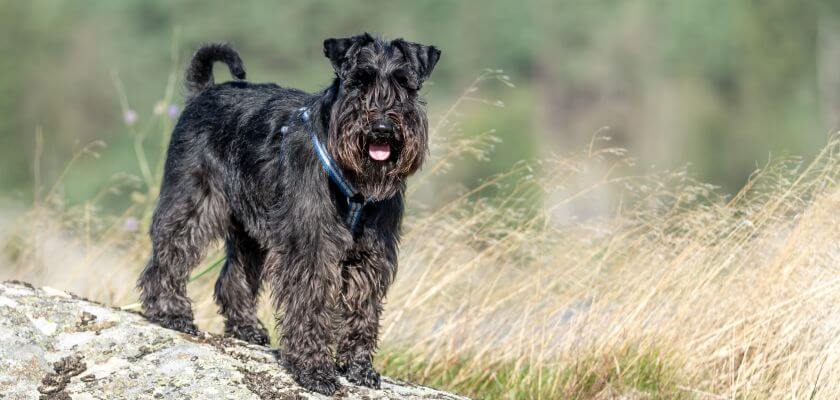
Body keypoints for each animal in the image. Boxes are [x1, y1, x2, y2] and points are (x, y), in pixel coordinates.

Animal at [136, 32, 440, 396]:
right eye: (358, 81)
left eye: (404, 83)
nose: (381, 127)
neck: (354, 180)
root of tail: (204, 92)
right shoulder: (311, 247)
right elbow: (310, 306)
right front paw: (315, 370)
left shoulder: (370, 254)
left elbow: (363, 310)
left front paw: (358, 367)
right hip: (194, 200)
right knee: (169, 252)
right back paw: (170, 312)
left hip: (250, 231)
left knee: (233, 277)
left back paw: (246, 328)